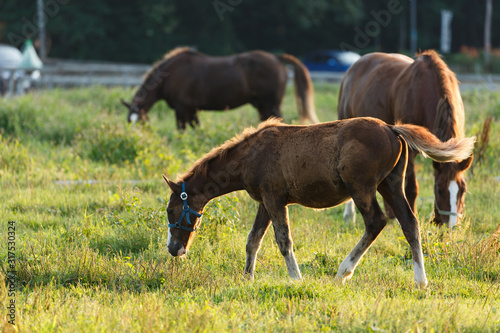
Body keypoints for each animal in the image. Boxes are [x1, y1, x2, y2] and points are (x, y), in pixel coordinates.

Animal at [120, 46, 316, 128]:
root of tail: (276, 58)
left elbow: (182, 130)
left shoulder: (182, 110)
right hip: (262, 106)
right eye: (129, 121)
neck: (171, 74)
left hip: (271, 104)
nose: (137, 137)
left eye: (140, 120)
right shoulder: (192, 110)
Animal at [163, 117, 472, 288]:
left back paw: (343, 272)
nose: (174, 249)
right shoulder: (265, 202)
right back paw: (421, 281)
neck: (253, 153)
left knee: (376, 222)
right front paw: (247, 278)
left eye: (172, 210)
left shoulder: (275, 200)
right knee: (410, 223)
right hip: (391, 185)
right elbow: (253, 240)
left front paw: (296, 279)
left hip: (362, 188)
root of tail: (391, 128)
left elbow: (283, 241)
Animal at [338, 50, 474, 227]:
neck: (424, 91)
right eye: (439, 190)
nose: (450, 226)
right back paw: (350, 215)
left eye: (462, 190)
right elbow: (412, 188)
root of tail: (354, 66)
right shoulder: (409, 148)